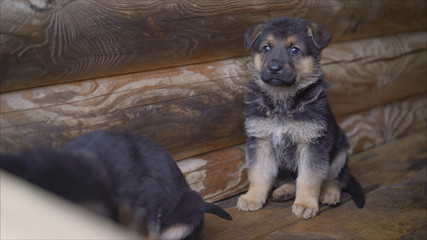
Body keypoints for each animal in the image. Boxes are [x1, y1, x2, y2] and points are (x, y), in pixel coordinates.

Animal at [237, 16, 364, 219]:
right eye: (266, 48)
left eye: (295, 49)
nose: (274, 68)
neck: (283, 101)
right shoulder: (261, 140)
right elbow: (259, 173)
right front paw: (252, 197)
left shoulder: (312, 144)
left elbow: (308, 178)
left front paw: (305, 204)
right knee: (291, 178)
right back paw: (286, 190)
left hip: (341, 151)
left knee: (336, 178)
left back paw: (329, 193)